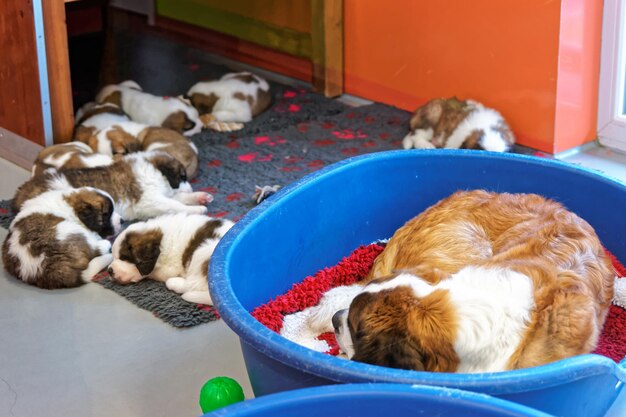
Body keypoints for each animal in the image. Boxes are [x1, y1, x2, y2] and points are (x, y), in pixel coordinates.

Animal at [12, 150, 211, 221]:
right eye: (182, 176)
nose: (191, 187)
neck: (152, 169)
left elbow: (177, 198)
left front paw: (200, 197)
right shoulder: (149, 200)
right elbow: (174, 204)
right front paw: (197, 210)